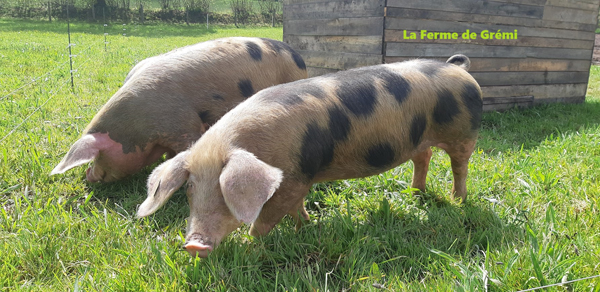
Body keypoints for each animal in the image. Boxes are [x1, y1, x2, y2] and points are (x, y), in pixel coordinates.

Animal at [136, 53, 482, 256]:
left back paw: (457, 201)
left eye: (226, 191)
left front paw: (249, 245)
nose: (193, 244)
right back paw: (415, 193)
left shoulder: (292, 179)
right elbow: (296, 208)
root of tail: (457, 67)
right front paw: (306, 226)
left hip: (464, 133)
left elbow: (264, 221)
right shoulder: (299, 176)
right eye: (190, 189)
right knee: (423, 158)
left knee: (460, 166)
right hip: (418, 141)